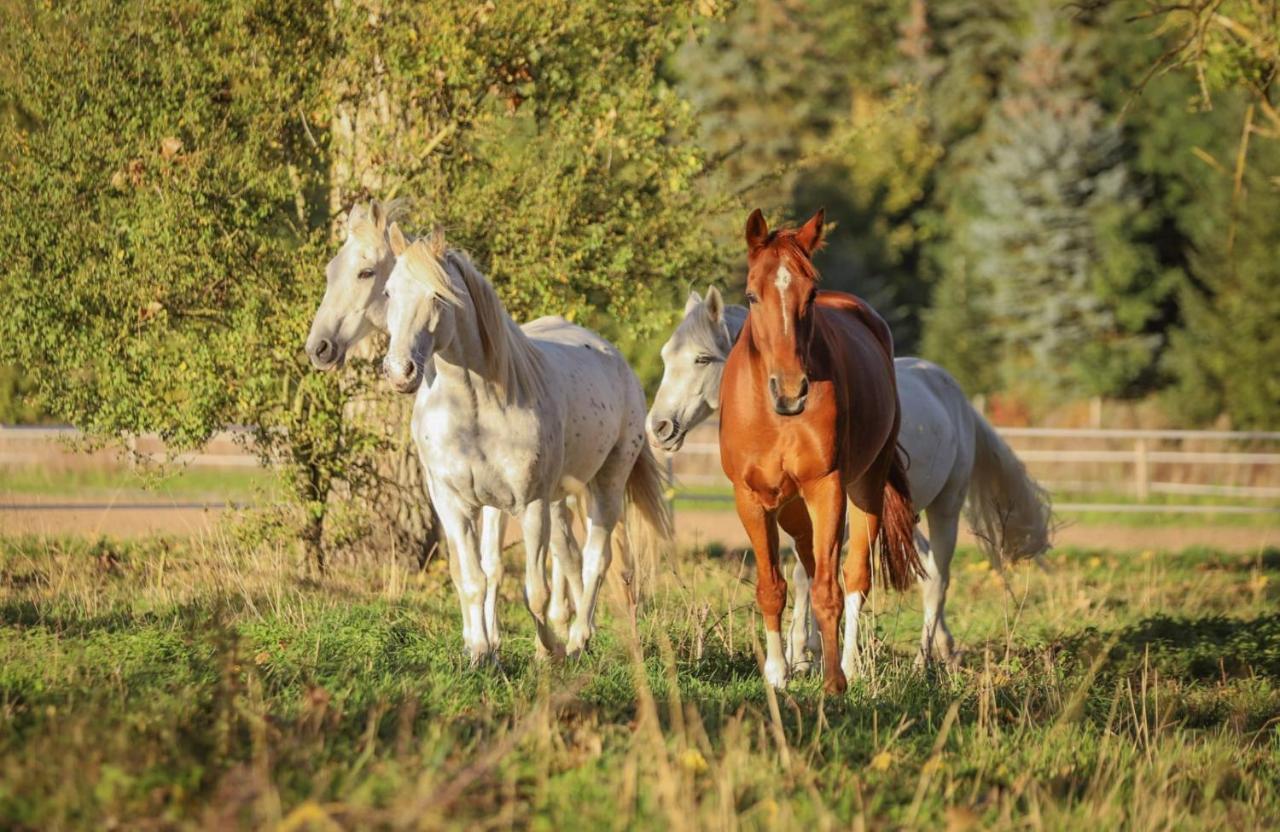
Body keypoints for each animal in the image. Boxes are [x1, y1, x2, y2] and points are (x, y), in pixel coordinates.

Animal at [378, 221, 675, 660]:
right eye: (388, 292)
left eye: (438, 295)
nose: (400, 372)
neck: (474, 408)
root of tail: (614, 356)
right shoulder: (453, 502)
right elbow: (474, 579)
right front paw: (480, 653)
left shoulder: (531, 504)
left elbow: (535, 591)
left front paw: (548, 650)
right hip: (552, 498)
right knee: (566, 557)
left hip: (606, 483)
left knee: (595, 559)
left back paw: (577, 640)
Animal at [650, 288, 1049, 675]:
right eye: (666, 356)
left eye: (702, 359)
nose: (658, 427)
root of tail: (958, 397)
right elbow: (803, 570)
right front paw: (803, 653)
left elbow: (807, 574)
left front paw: (804, 653)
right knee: (927, 575)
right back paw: (945, 649)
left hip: (945, 506)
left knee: (938, 578)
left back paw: (922, 661)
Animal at [721, 208, 921, 691]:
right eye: (751, 296)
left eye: (809, 295)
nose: (792, 392)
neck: (775, 418)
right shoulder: (750, 498)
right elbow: (772, 587)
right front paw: (777, 674)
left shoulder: (826, 488)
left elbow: (830, 588)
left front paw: (834, 682)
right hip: (792, 508)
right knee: (809, 566)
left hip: (865, 487)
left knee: (853, 576)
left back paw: (847, 664)